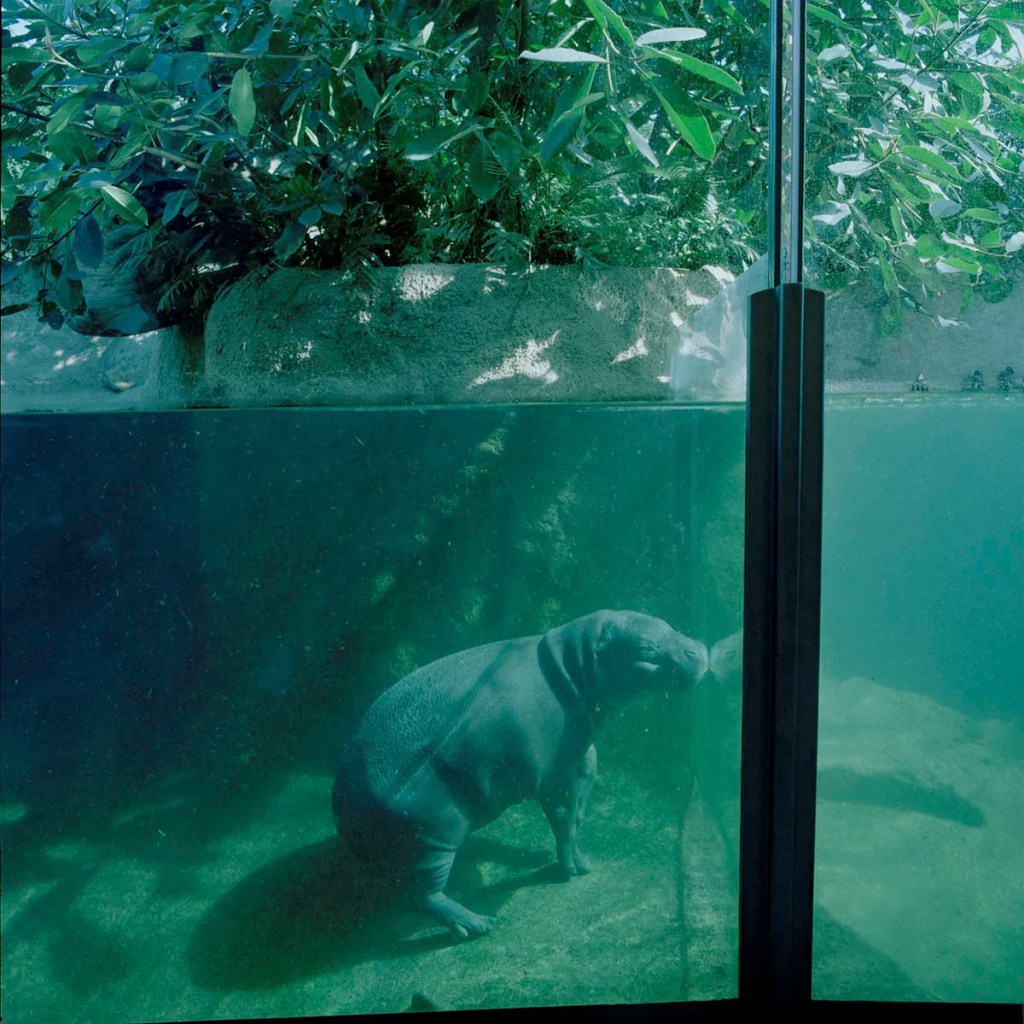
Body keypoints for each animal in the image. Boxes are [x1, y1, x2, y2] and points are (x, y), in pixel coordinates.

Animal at [332, 610, 708, 939]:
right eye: (645, 648)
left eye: (665, 622)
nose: (698, 649)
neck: (573, 663)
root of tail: (346, 800)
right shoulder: (556, 774)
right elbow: (563, 819)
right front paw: (572, 869)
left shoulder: (578, 747)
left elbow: (585, 787)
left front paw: (578, 854)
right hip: (434, 837)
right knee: (421, 895)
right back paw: (477, 925)